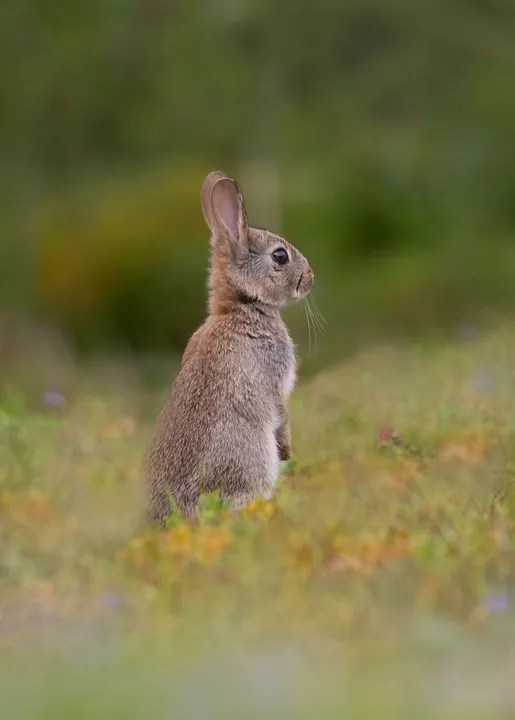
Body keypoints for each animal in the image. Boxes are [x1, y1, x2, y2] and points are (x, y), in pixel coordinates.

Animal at [146, 170, 314, 525]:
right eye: (280, 256)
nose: (310, 277)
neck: (241, 305)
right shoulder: (273, 380)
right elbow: (280, 414)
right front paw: (288, 451)